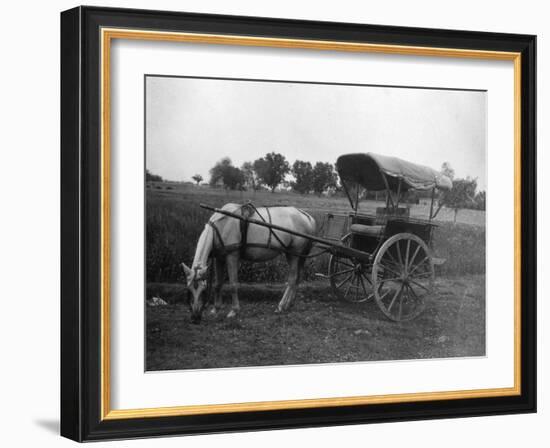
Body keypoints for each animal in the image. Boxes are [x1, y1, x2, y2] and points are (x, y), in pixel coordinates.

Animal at [183, 202, 316, 322]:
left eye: (203, 290)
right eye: (189, 289)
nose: (195, 317)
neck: (220, 226)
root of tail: (306, 216)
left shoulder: (232, 256)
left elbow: (233, 284)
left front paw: (234, 311)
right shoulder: (219, 258)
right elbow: (218, 284)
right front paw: (215, 309)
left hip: (294, 254)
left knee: (292, 279)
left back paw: (281, 306)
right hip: (297, 255)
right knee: (297, 278)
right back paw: (289, 304)